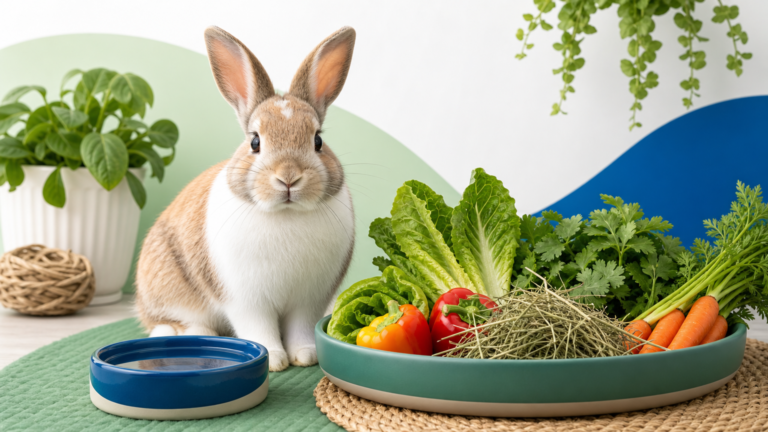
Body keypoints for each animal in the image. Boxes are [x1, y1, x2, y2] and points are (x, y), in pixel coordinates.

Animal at [134, 26, 356, 372]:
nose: (288, 177)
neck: (285, 215)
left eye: (318, 140)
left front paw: (305, 355)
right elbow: (259, 329)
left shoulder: (308, 302)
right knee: (168, 324)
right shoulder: (247, 301)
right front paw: (274, 360)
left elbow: (300, 328)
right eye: (255, 142)